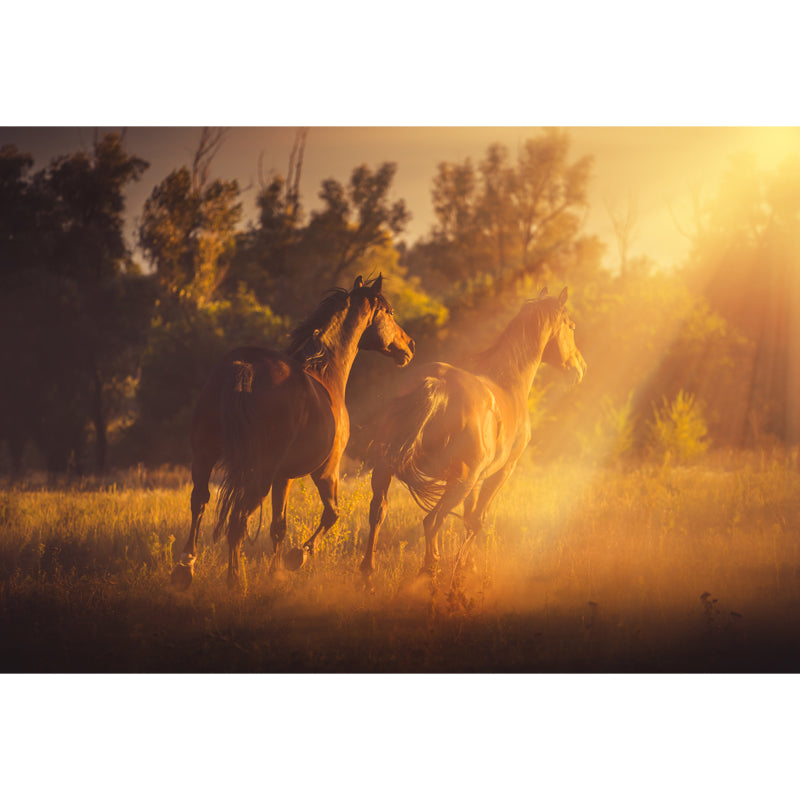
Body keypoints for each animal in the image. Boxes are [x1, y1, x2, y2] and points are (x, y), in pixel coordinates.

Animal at [170, 275, 415, 589]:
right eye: (389, 312)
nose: (409, 345)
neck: (325, 372)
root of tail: (244, 366)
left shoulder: (282, 477)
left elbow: (279, 526)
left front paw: (276, 573)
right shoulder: (326, 471)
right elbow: (332, 514)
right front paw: (297, 557)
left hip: (205, 456)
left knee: (199, 503)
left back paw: (184, 569)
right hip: (259, 475)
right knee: (237, 521)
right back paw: (235, 581)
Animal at [359, 286, 586, 580]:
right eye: (571, 326)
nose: (579, 369)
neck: (509, 383)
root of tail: (437, 384)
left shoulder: (478, 480)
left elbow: (469, 520)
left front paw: (466, 566)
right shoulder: (501, 472)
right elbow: (478, 520)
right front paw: (464, 568)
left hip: (386, 469)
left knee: (378, 511)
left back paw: (368, 573)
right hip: (459, 483)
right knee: (432, 521)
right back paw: (429, 571)